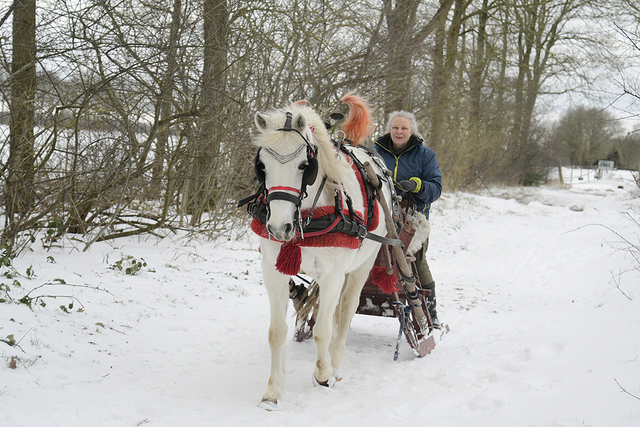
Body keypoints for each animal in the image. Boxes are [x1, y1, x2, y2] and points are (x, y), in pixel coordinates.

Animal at [251, 94, 396, 412]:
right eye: (262, 166)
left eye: (305, 165)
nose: (279, 227)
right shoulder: (272, 269)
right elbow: (276, 332)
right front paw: (273, 391)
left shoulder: (333, 274)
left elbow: (323, 329)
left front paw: (324, 373)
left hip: (363, 264)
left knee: (346, 310)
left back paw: (336, 363)